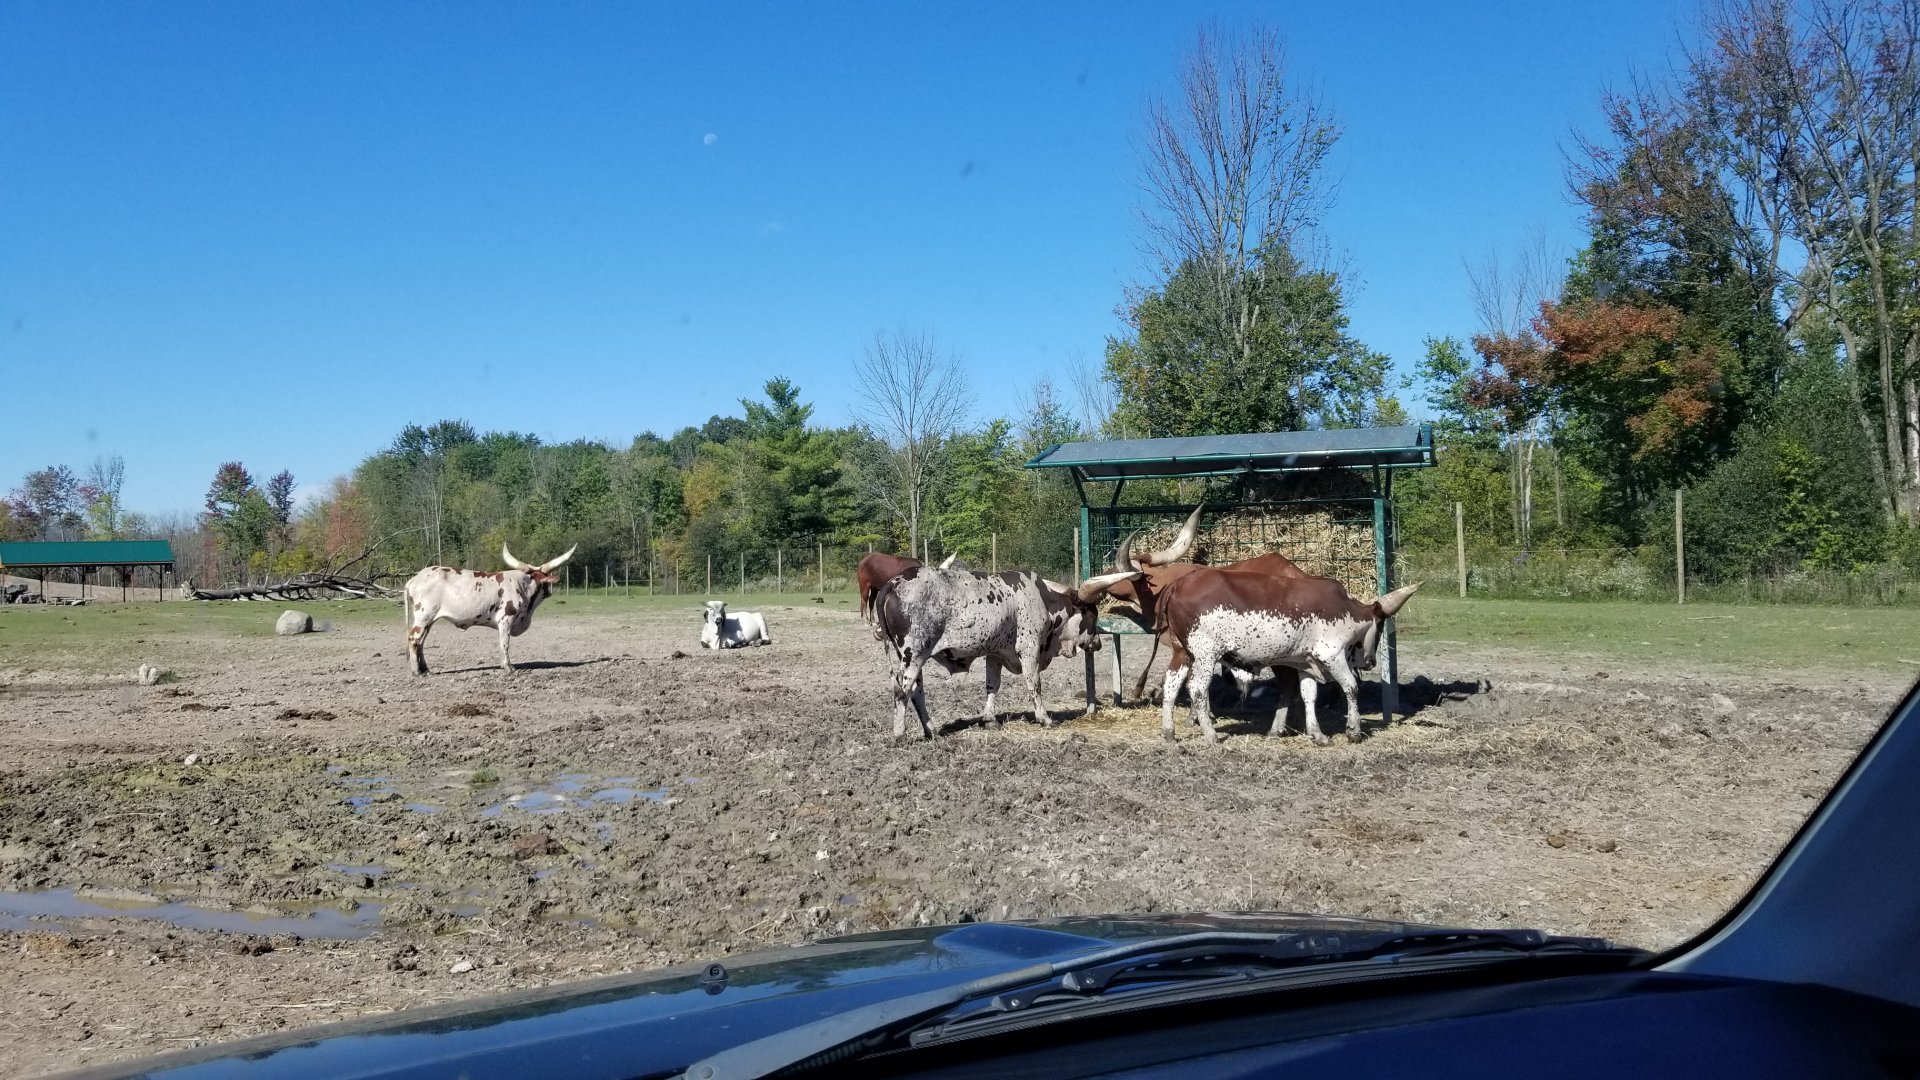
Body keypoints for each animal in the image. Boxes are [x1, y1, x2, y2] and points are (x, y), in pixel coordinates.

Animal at [402, 544, 576, 675]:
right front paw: (508, 667)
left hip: (430, 620)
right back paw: (416, 672)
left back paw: (425, 669)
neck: (524, 586)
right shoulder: (506, 619)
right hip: (424, 616)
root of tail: (414, 578)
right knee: (413, 639)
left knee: (421, 642)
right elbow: (504, 643)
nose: (549, 592)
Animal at [872, 565, 1140, 739]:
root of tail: (893, 584)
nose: (1098, 643)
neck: (1044, 600)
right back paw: (900, 733)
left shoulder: (995, 653)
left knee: (916, 692)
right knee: (902, 690)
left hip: (910, 656)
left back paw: (932, 730)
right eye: (1092, 616)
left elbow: (993, 686)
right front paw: (1044, 718)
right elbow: (1034, 684)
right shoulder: (1029, 648)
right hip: (914, 654)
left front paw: (989, 719)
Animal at [1154, 566, 1419, 746]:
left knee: (1171, 686)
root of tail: (1179, 584)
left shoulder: (1305, 662)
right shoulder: (1332, 656)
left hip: (1182, 652)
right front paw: (1353, 730)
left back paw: (1169, 732)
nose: (1371, 661)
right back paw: (1210, 734)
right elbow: (1351, 688)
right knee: (1198, 689)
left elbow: (1309, 695)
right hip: (1205, 655)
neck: (1347, 610)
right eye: (1381, 625)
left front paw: (1318, 734)